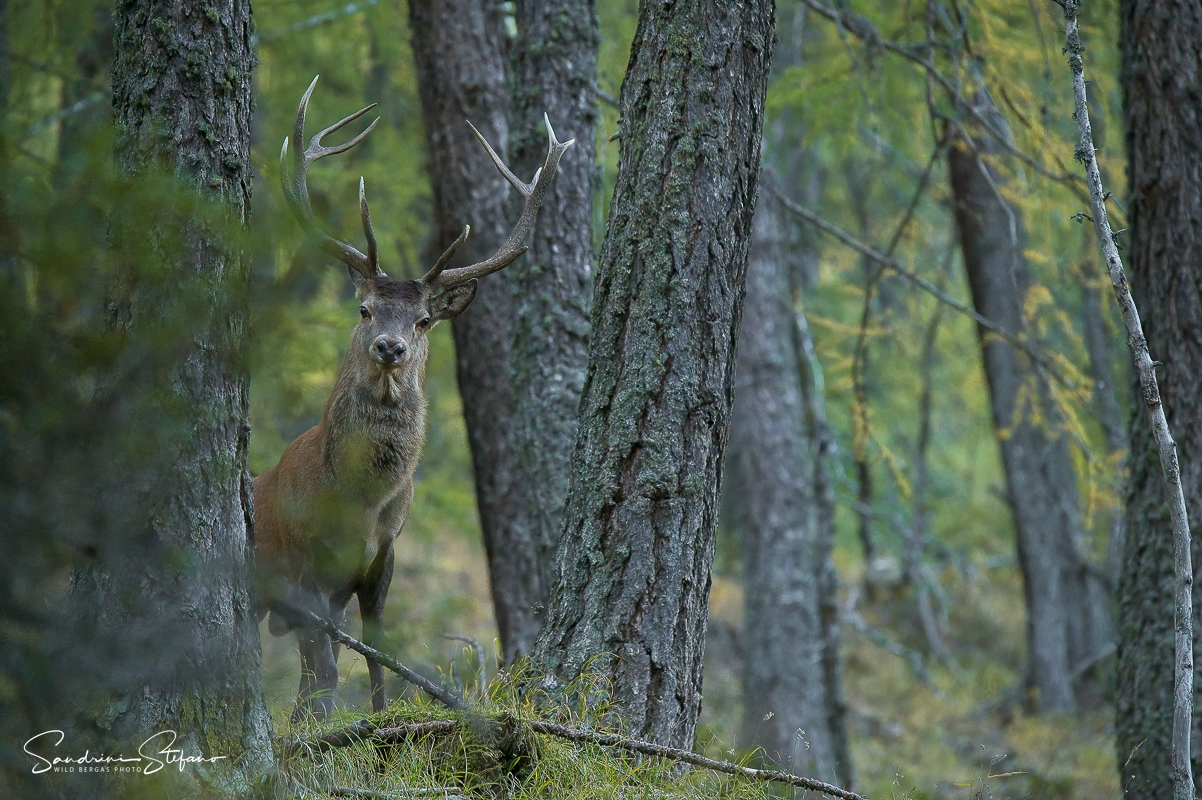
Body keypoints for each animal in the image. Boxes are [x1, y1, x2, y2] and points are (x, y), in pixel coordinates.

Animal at [254, 76, 572, 720]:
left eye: (424, 320)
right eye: (364, 308)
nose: (389, 347)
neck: (356, 500)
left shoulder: (382, 558)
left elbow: (377, 659)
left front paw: (375, 722)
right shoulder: (302, 564)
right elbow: (328, 669)